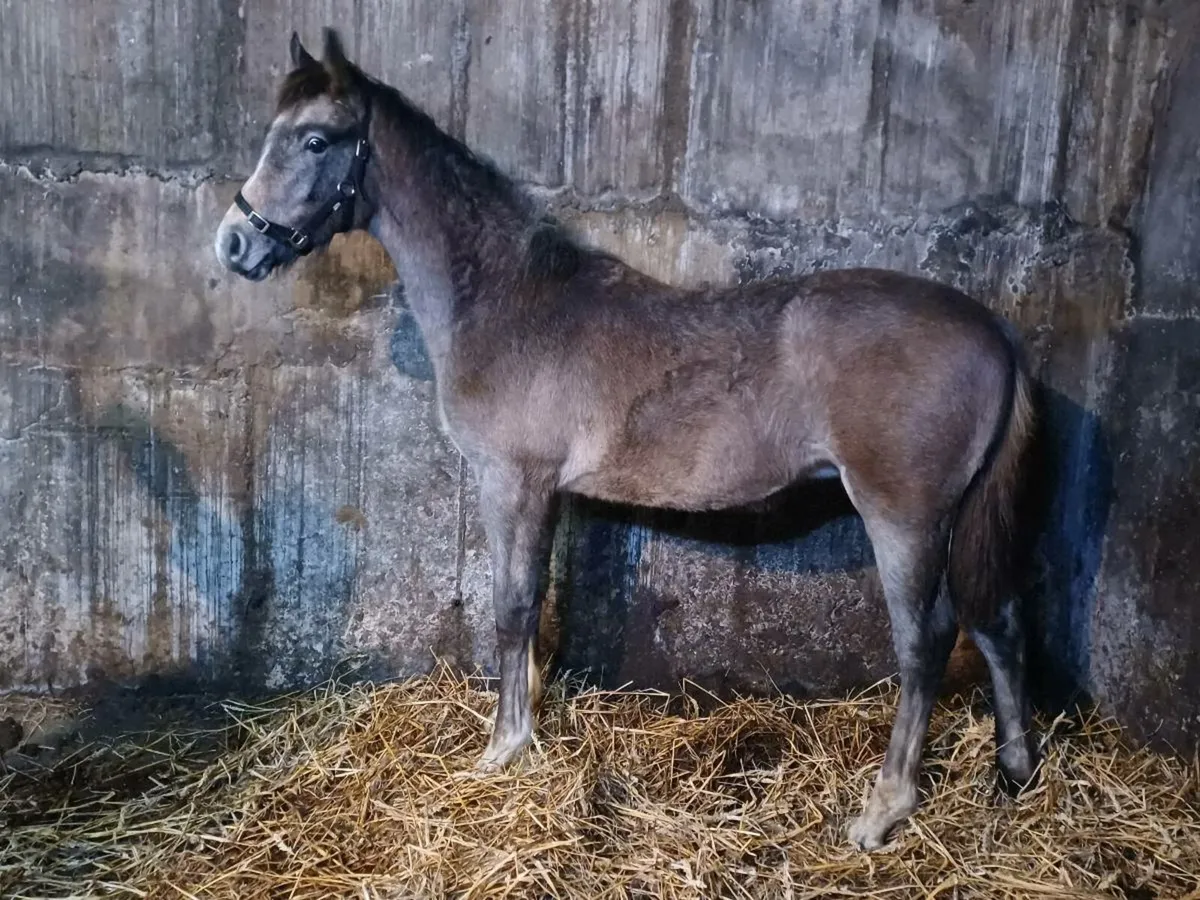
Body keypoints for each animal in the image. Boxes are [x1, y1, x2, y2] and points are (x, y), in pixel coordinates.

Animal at [213, 28, 1039, 851]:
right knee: (996, 621)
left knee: (926, 642)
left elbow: (511, 606)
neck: (512, 301)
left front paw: (504, 747)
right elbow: (536, 603)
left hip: (904, 518)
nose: (233, 244)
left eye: (315, 139)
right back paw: (1016, 767)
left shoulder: (512, 481)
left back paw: (884, 808)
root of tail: (994, 336)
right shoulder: (547, 493)